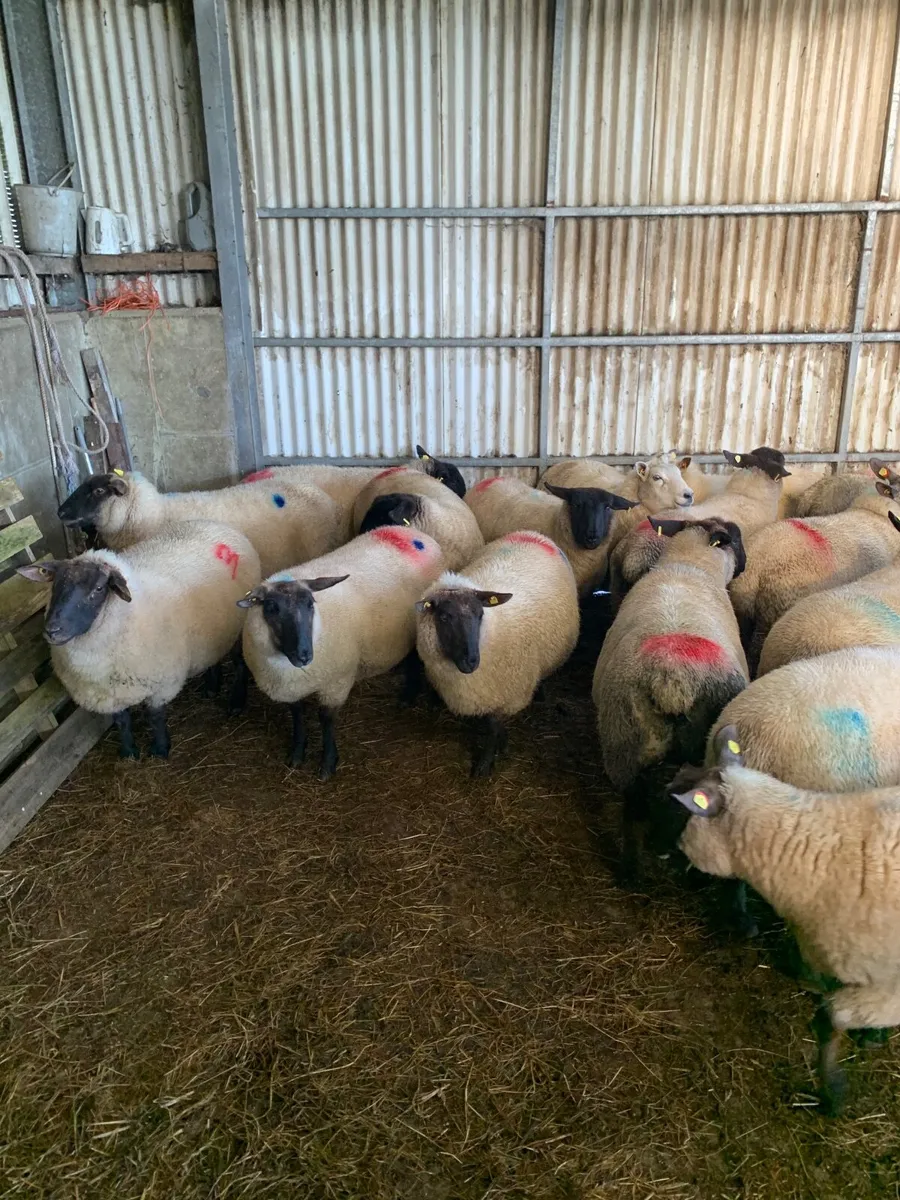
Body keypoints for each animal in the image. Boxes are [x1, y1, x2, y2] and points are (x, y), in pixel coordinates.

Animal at [17, 521, 260, 758]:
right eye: (55, 584)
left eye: (98, 588)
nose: (52, 630)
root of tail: (217, 523)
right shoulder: (110, 695)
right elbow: (122, 721)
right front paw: (128, 752)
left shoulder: (162, 684)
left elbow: (155, 717)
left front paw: (160, 749)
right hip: (212, 631)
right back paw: (211, 686)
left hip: (238, 625)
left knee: (240, 663)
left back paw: (236, 702)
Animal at [240, 525, 445, 779]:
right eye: (271, 608)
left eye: (310, 604)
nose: (304, 655)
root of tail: (411, 531)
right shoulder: (292, 688)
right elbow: (297, 715)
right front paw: (297, 753)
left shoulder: (336, 682)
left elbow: (326, 720)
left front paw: (328, 763)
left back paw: (414, 697)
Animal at [415, 531, 579, 777]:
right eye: (443, 617)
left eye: (480, 614)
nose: (471, 661)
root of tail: (532, 533)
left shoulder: (506, 693)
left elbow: (493, 728)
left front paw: (486, 763)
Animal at [592, 518, 749, 877]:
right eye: (737, 538)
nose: (745, 564)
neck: (688, 564)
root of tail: (673, 679)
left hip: (624, 744)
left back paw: (632, 871)